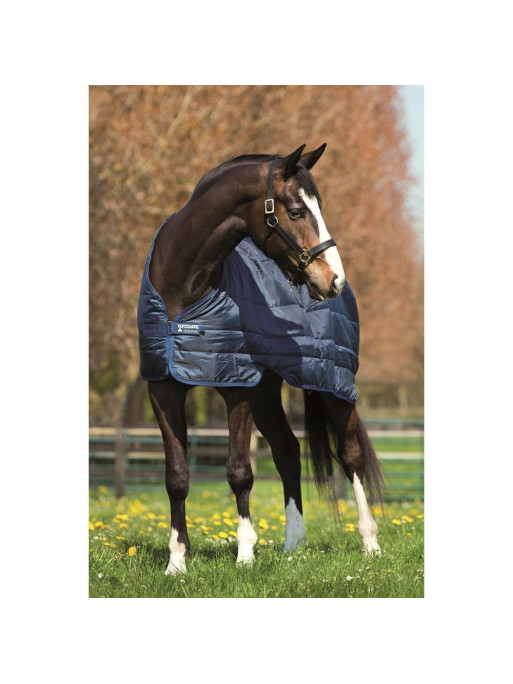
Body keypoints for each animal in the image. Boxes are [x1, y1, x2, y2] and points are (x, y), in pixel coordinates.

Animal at [138, 143, 384, 575]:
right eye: (297, 211)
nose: (333, 280)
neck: (184, 290)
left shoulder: (237, 387)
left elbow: (239, 471)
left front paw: (245, 556)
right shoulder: (163, 387)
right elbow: (177, 476)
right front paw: (177, 562)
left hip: (333, 383)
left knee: (350, 455)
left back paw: (370, 543)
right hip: (268, 395)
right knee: (288, 453)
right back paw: (293, 545)